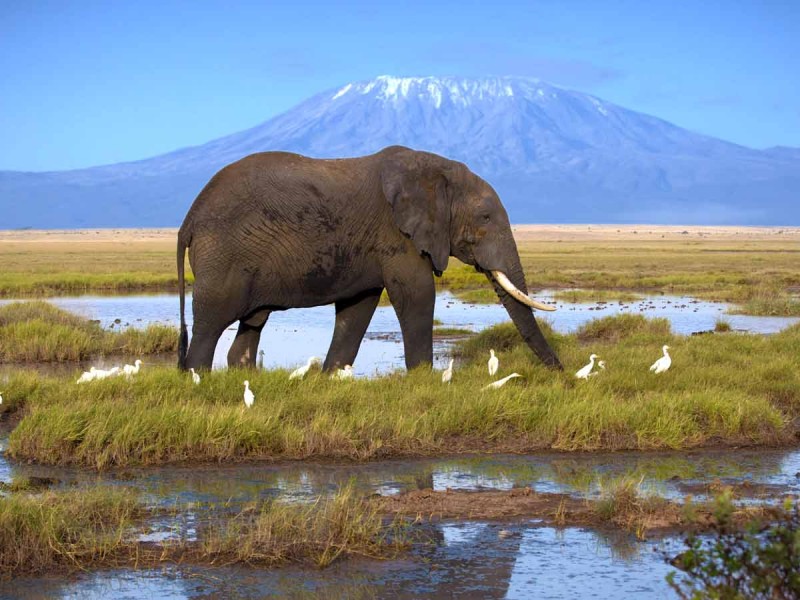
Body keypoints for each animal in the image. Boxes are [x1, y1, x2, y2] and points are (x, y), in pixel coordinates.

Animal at [175, 145, 564, 370]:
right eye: (485, 217)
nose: (561, 375)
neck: (436, 169)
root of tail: (189, 218)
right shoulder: (397, 235)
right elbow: (416, 294)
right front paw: (423, 380)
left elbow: (357, 308)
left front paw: (331, 376)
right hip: (223, 254)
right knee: (211, 322)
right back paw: (199, 379)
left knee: (252, 323)